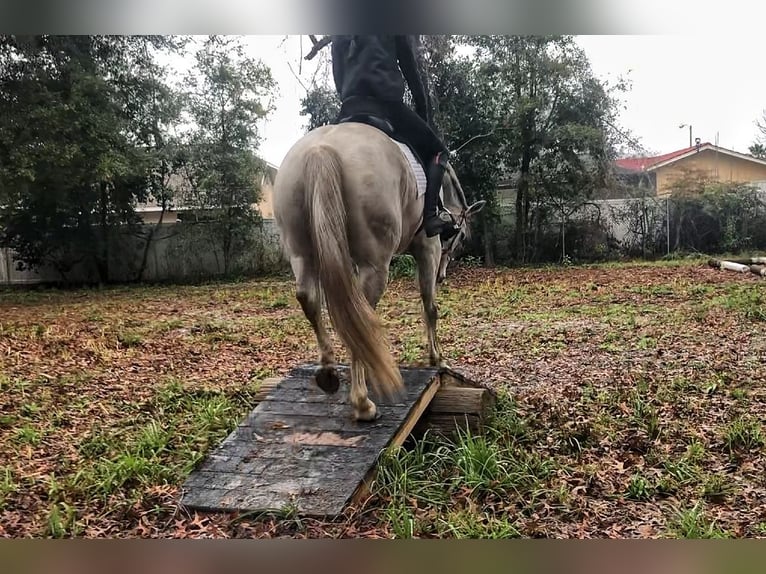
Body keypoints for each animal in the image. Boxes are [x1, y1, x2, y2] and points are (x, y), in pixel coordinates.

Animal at [272, 121, 484, 424]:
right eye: (462, 237)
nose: (443, 275)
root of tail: (320, 148)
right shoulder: (428, 248)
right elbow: (430, 306)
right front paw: (437, 358)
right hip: (375, 264)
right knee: (360, 315)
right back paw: (363, 404)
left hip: (302, 252)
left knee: (310, 298)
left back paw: (328, 373)